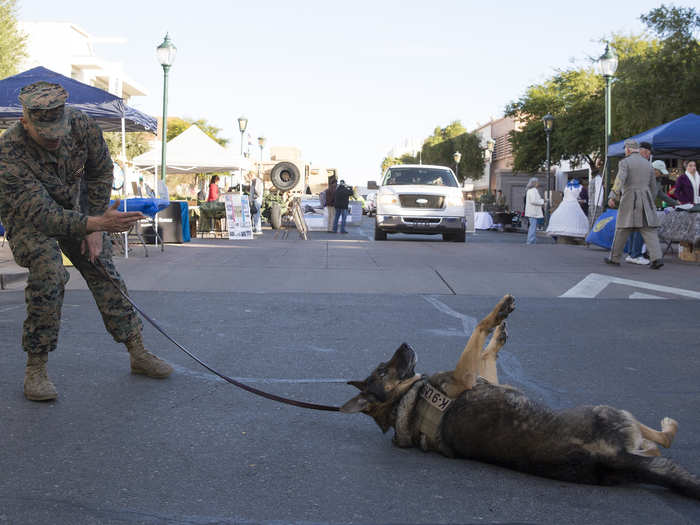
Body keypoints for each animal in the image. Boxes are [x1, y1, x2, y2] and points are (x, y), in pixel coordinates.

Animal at [340, 294, 700, 500]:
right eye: (383, 370)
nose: (404, 344)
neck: (405, 398)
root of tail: (608, 458)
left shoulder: (484, 377)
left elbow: (488, 349)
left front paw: (500, 333)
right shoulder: (466, 376)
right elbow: (480, 329)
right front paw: (499, 314)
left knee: (655, 448)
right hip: (612, 410)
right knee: (664, 440)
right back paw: (668, 426)